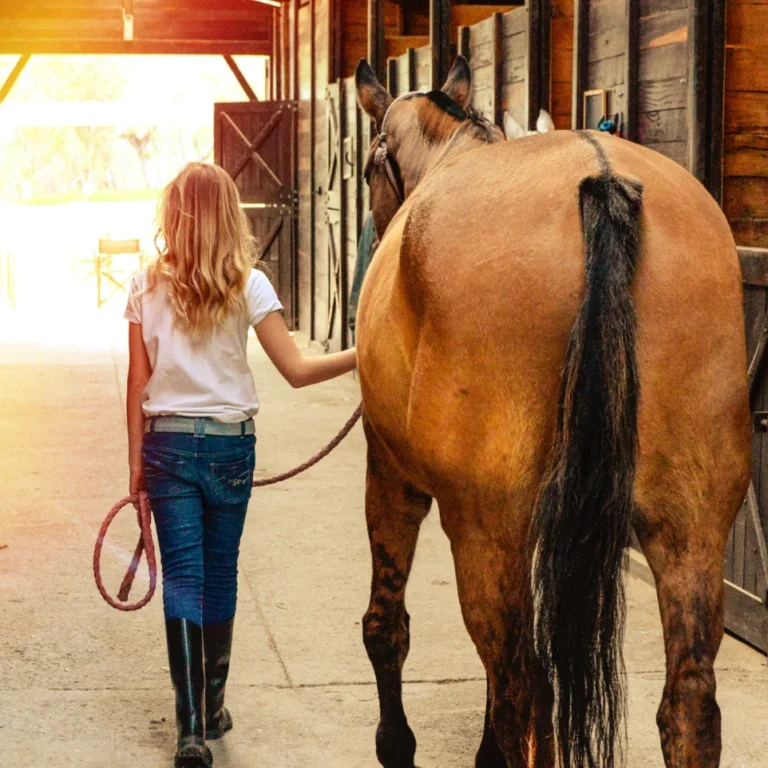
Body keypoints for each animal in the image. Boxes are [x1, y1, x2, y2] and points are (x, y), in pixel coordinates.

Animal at [353, 55, 751, 768]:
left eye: (372, 166)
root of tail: (600, 180)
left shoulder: (391, 474)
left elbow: (387, 625)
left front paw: (395, 744)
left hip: (485, 530)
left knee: (522, 684)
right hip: (691, 527)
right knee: (688, 701)